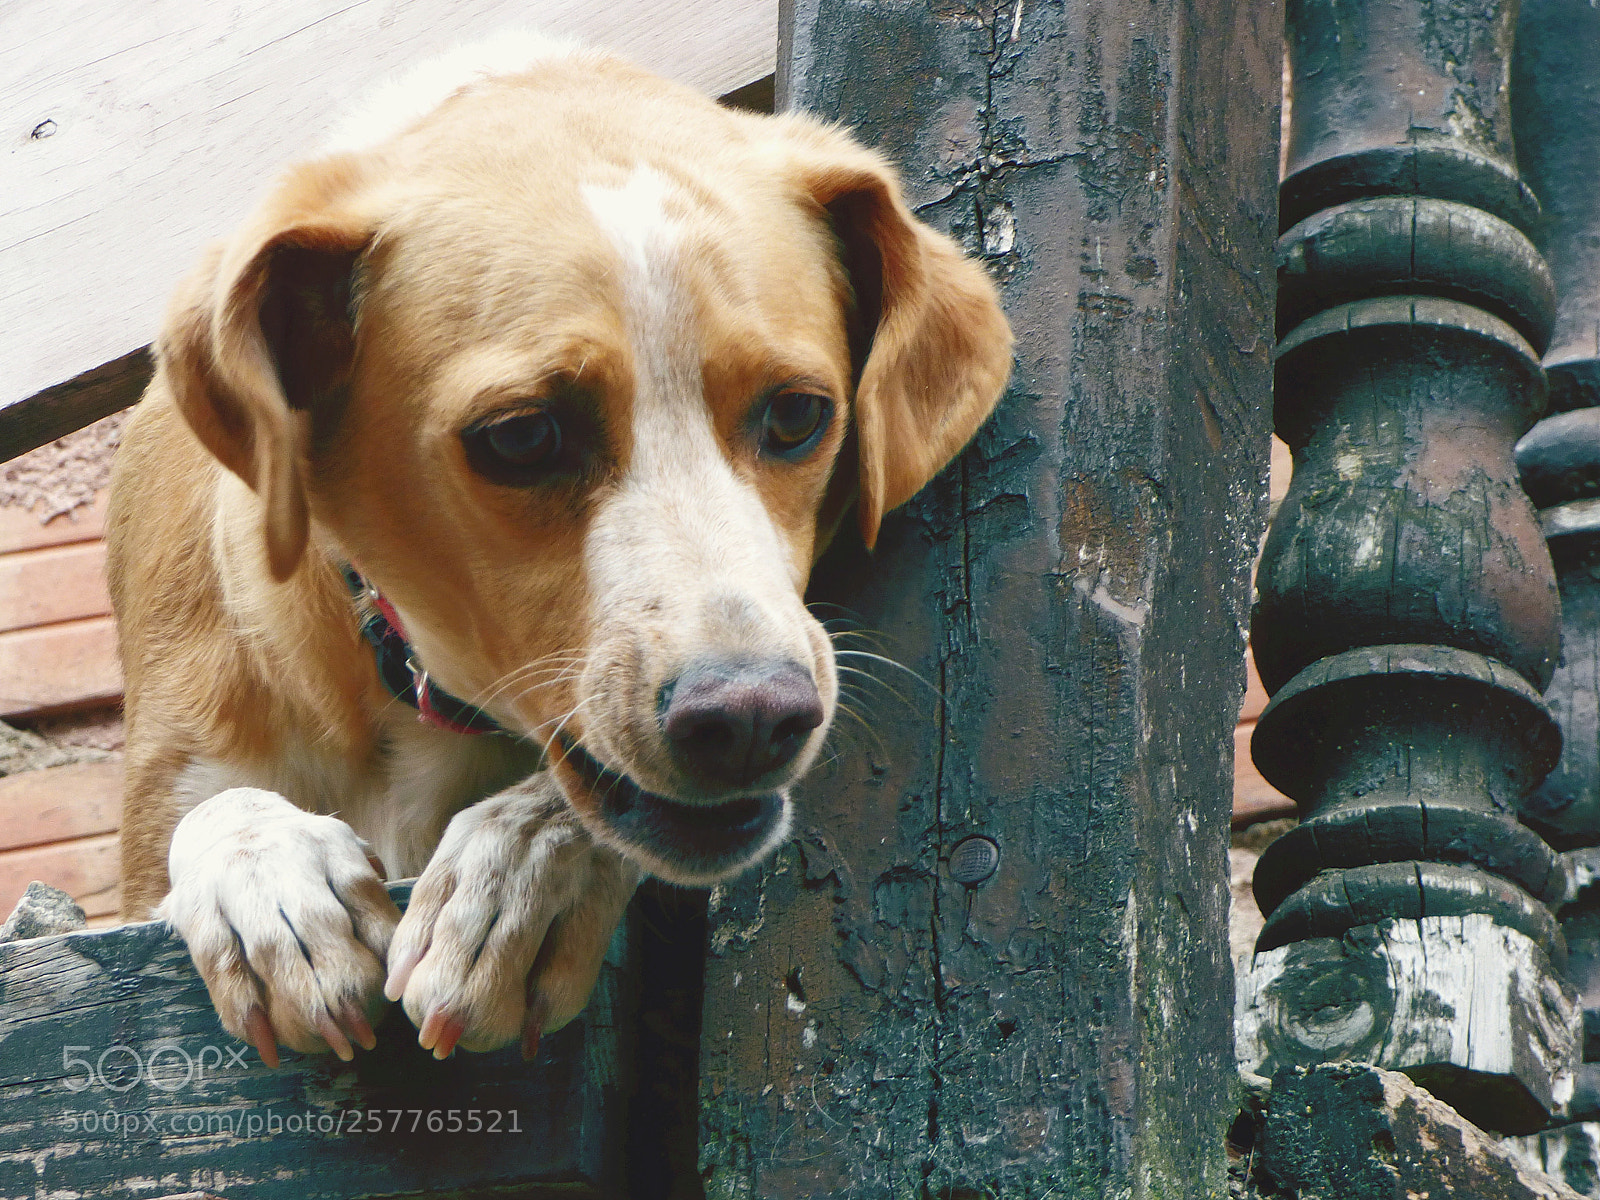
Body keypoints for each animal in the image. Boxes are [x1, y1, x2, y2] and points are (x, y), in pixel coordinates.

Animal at [106, 32, 1011, 1068]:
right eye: (521, 437)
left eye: (798, 415)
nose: (751, 718)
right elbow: (220, 811)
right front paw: (272, 886)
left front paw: (515, 871)